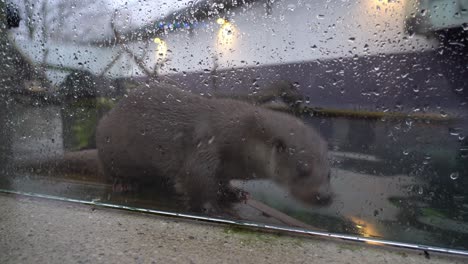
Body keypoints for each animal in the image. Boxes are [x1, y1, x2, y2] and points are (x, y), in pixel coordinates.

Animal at [95, 81, 330, 211]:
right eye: (303, 168)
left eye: (328, 173)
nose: (325, 196)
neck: (242, 135)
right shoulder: (207, 143)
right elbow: (196, 177)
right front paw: (210, 206)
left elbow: (221, 180)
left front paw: (234, 192)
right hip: (109, 148)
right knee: (108, 170)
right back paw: (124, 183)